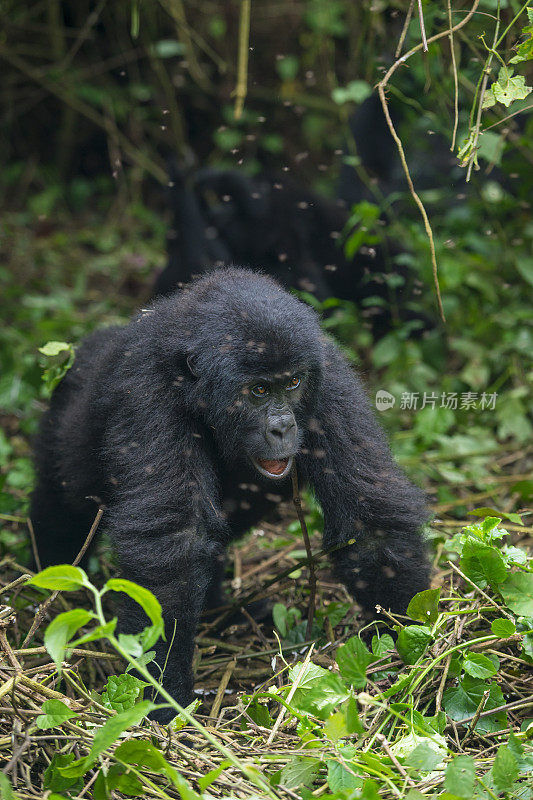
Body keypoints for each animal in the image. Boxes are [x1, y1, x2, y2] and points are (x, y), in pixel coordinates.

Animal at [31, 270, 430, 724]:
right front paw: (164, 695)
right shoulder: (147, 393)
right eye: (258, 391)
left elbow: (370, 518)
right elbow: (173, 545)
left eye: (293, 382)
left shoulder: (329, 381)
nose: (282, 427)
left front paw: (412, 645)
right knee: (63, 506)